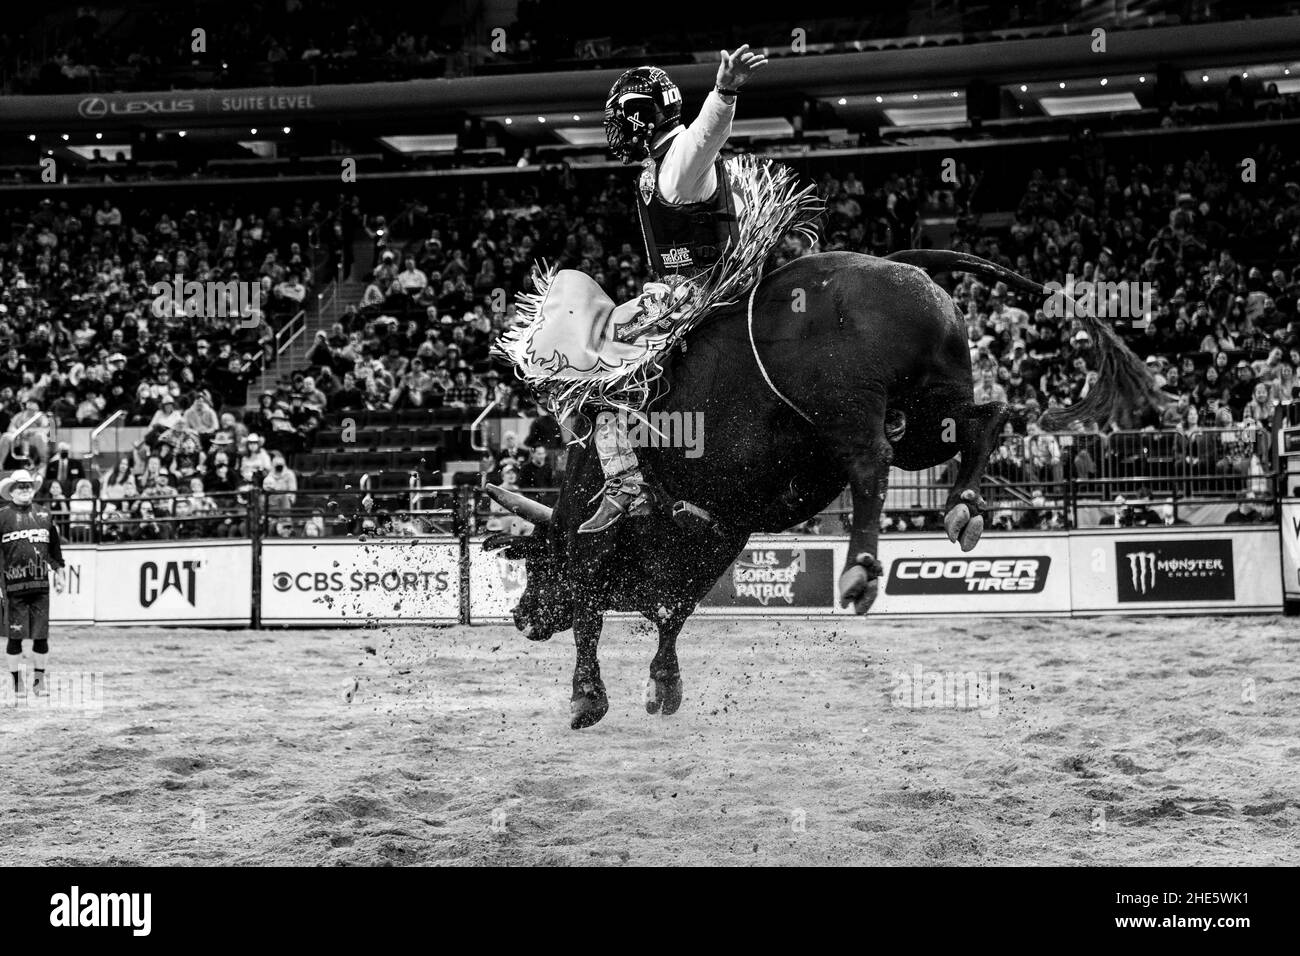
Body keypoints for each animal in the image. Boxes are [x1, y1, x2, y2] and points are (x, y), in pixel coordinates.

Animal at [486, 251, 1159, 728]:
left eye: (535, 563)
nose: (520, 617)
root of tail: (899, 270)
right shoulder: (719, 529)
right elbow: (671, 612)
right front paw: (664, 684)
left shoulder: (602, 543)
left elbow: (591, 610)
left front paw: (587, 697)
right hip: (926, 416)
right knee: (986, 418)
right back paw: (963, 509)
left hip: (849, 408)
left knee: (871, 466)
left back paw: (862, 566)